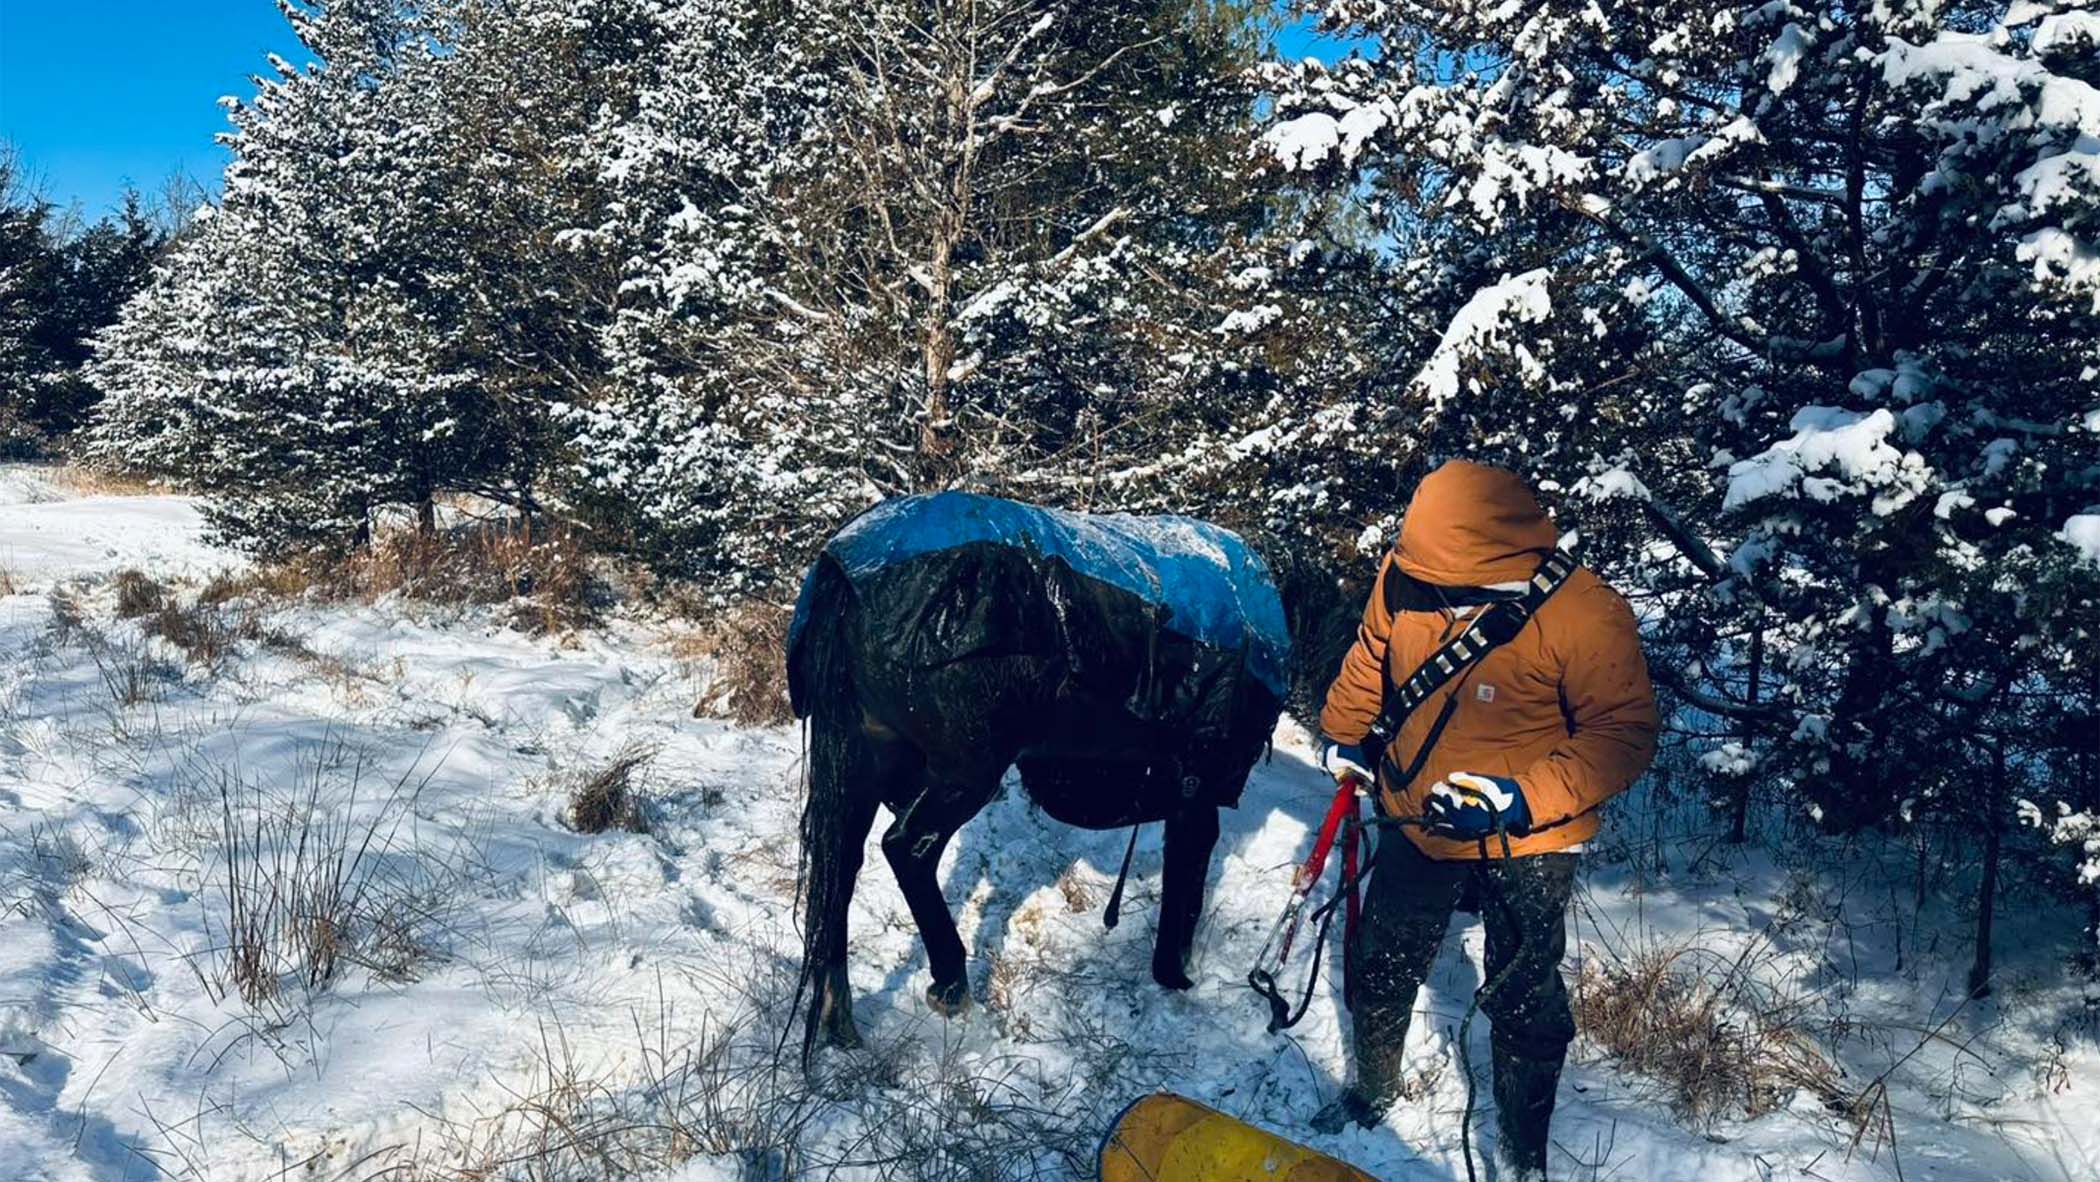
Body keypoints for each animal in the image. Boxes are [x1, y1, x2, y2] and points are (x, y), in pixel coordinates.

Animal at [785, 491, 1354, 1058]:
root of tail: (847, 573)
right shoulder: (1198, 794)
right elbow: (1186, 887)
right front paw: (1175, 978)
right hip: (963, 776)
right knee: (906, 850)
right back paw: (951, 985)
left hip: (862, 765)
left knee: (839, 870)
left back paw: (840, 1019)